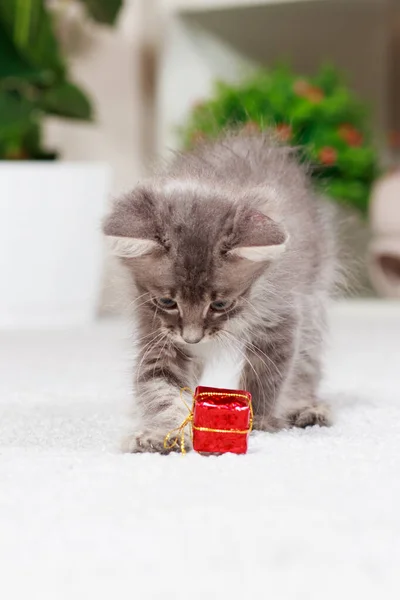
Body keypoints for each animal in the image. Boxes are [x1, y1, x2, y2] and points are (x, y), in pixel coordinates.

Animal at [104, 130, 338, 450]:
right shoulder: (157, 332)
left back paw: (305, 408)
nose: (192, 338)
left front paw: (258, 422)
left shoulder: (281, 315)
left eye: (219, 305)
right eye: (167, 301)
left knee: (305, 364)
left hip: (313, 295)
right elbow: (159, 388)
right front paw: (163, 433)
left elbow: (267, 377)